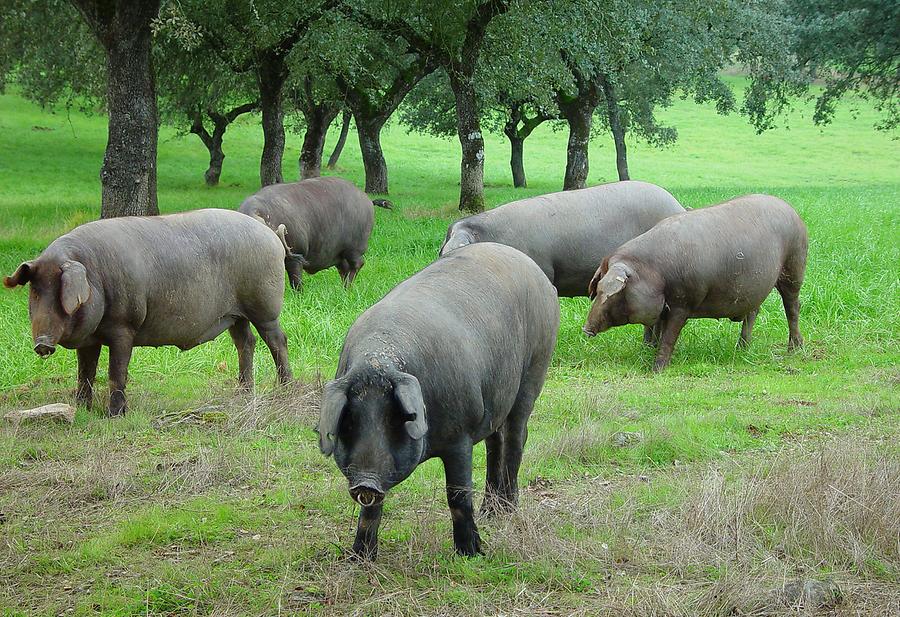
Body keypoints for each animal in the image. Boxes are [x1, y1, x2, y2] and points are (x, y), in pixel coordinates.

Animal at [3, 209, 292, 416]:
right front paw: (82, 409)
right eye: (35, 293)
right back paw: (243, 392)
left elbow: (116, 372)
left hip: (264, 306)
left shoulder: (124, 327)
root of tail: (270, 235)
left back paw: (285, 388)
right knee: (246, 342)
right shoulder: (89, 339)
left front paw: (115, 415)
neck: (97, 277)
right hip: (234, 314)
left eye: (60, 293)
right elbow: (85, 373)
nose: (42, 344)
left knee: (277, 340)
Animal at [239, 176, 390, 292]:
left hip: (354, 248)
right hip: (339, 254)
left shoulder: (296, 256)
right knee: (344, 268)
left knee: (357, 264)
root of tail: (368, 200)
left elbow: (296, 281)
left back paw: (346, 289)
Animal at [314, 241, 556, 560]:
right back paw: (490, 513)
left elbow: (458, 494)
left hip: (536, 367)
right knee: (496, 443)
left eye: (396, 418)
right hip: (494, 399)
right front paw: (360, 557)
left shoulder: (460, 434)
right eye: (350, 420)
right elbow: (371, 511)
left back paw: (508, 512)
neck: (377, 363)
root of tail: (530, 265)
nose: (367, 482)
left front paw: (471, 554)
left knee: (517, 438)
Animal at [584, 195, 808, 370]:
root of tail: (793, 212)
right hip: (755, 288)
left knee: (793, 307)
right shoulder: (664, 308)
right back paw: (742, 349)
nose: (586, 329)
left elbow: (669, 336)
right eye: (598, 289)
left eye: (613, 293)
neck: (655, 272)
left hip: (794, 268)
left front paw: (657, 368)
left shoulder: (683, 303)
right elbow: (659, 331)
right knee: (753, 313)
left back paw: (794, 349)